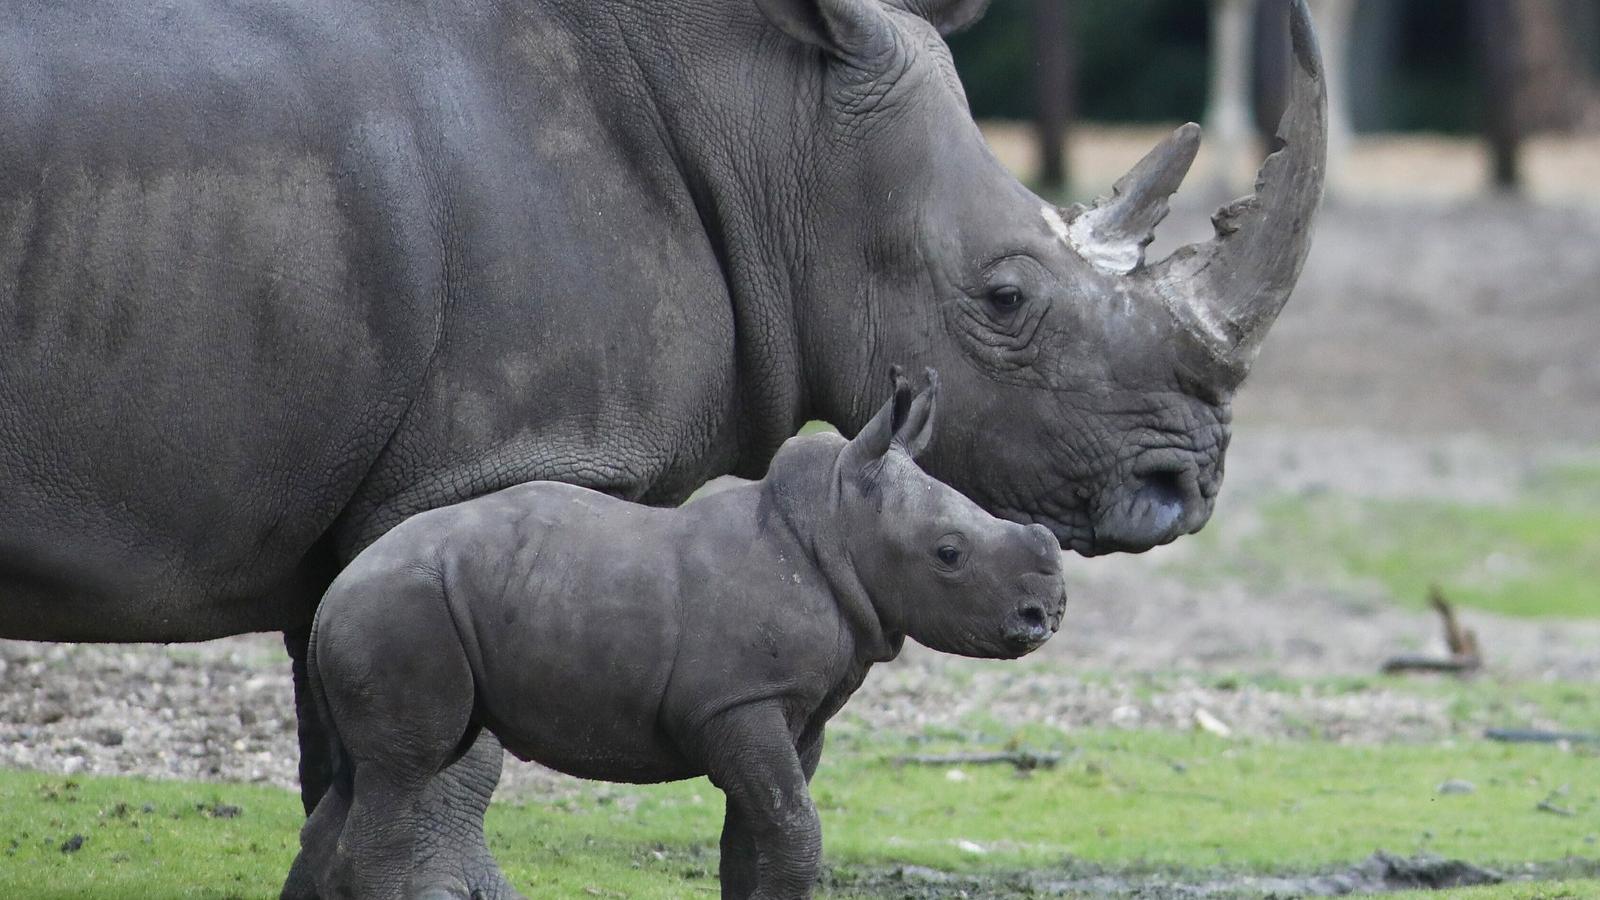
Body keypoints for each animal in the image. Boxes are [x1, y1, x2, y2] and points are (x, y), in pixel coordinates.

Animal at [291, 368, 1062, 890]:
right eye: (950, 554)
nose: (1047, 614)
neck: (838, 523)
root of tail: (333, 593)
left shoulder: (789, 710)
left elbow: (757, 839)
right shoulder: (739, 700)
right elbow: (795, 828)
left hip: (403, 606)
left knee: (371, 777)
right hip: (402, 608)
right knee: (404, 772)